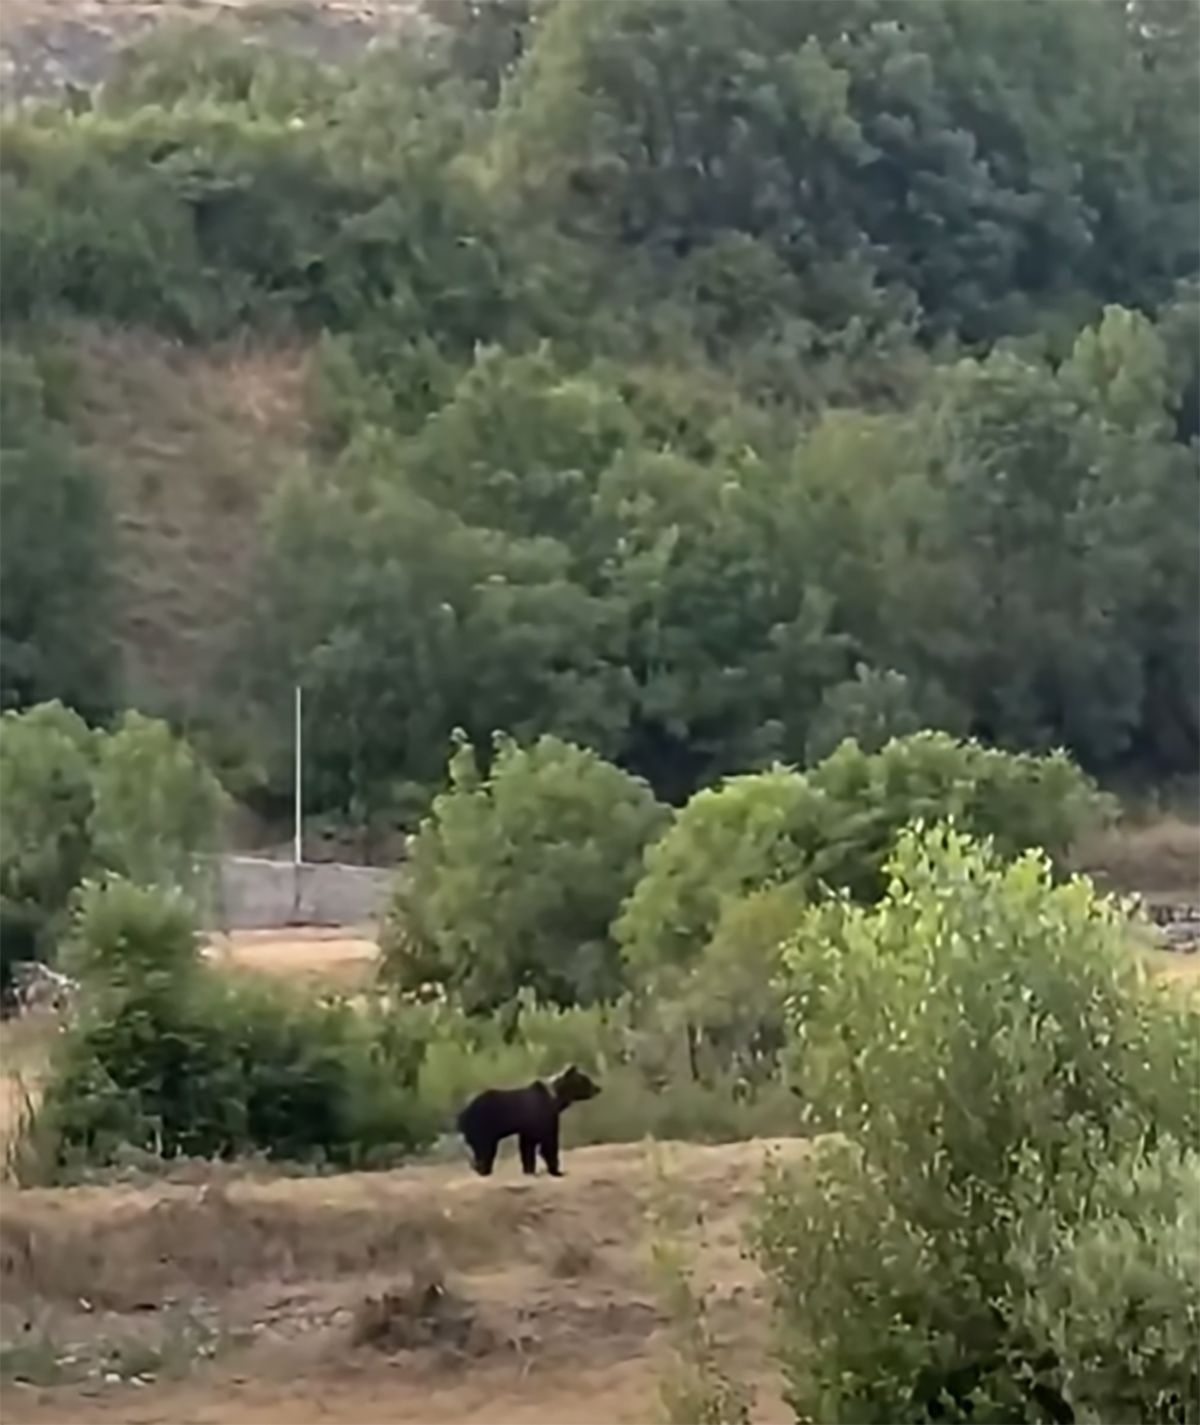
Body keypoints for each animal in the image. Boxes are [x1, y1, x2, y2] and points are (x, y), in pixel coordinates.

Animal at [457, 1065, 600, 1178]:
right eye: (585, 1079)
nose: (598, 1088)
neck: (554, 1099)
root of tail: (462, 1115)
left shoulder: (528, 1127)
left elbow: (527, 1147)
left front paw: (529, 1170)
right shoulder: (543, 1117)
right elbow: (548, 1143)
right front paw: (558, 1171)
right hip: (483, 1126)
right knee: (485, 1149)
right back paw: (484, 1170)